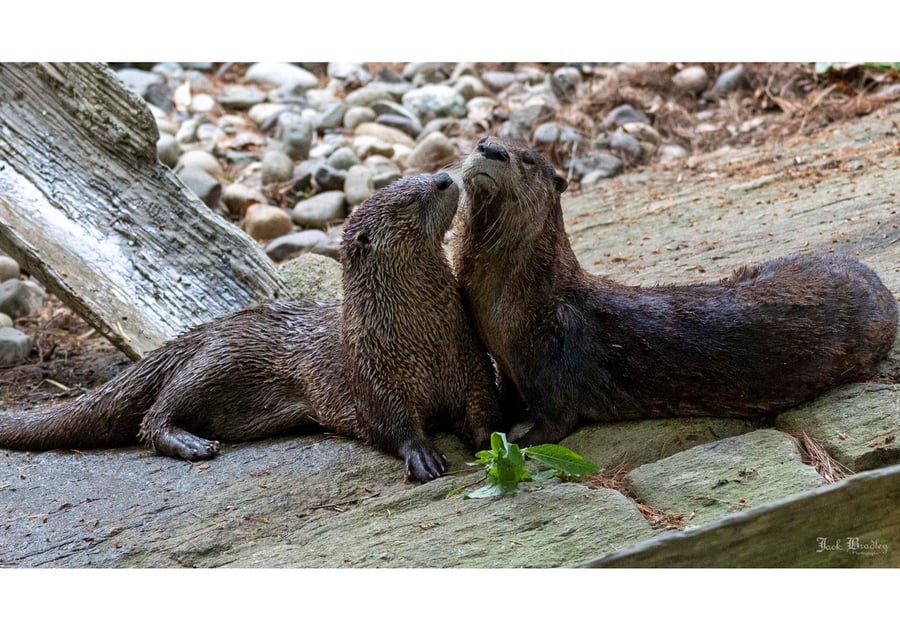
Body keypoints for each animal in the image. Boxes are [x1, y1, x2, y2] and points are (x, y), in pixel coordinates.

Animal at [0, 170, 500, 482]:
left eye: (417, 175)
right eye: (412, 198)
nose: (443, 178)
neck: (423, 336)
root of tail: (196, 334)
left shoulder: (468, 358)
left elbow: (482, 403)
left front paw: (498, 438)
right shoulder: (373, 374)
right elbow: (390, 423)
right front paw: (423, 454)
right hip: (214, 361)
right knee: (152, 418)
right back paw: (193, 446)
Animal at [454, 136, 900, 446]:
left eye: (527, 159)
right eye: (481, 140)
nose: (491, 149)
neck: (525, 307)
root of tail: (878, 283)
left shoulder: (553, 372)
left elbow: (550, 427)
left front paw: (497, 443)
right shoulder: (507, 364)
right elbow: (507, 396)